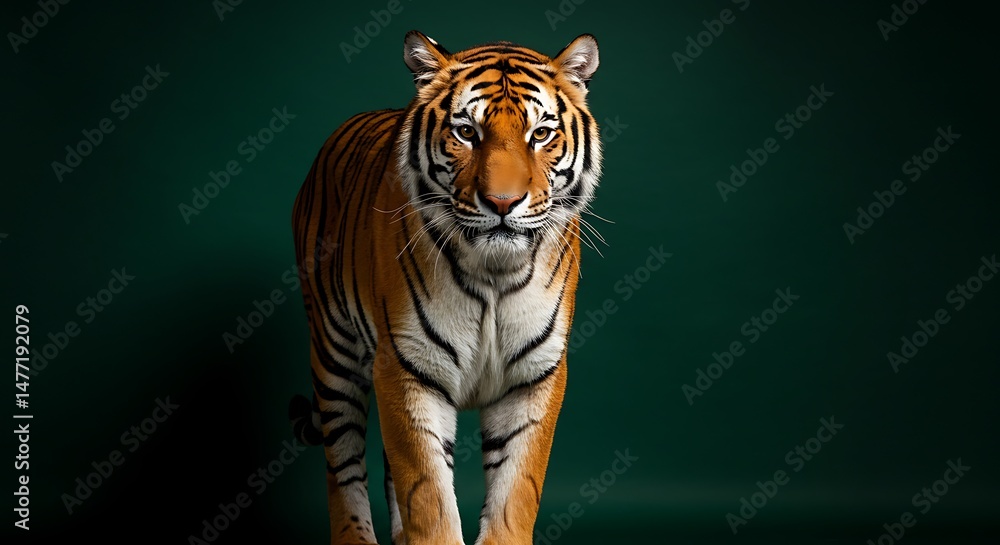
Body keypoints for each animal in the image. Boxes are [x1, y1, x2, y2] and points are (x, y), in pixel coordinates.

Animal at [288, 30, 602, 545]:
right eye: (466, 133)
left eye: (540, 134)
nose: (502, 202)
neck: (495, 272)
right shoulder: (408, 367)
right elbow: (429, 496)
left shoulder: (534, 376)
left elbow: (515, 494)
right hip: (333, 353)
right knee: (343, 466)